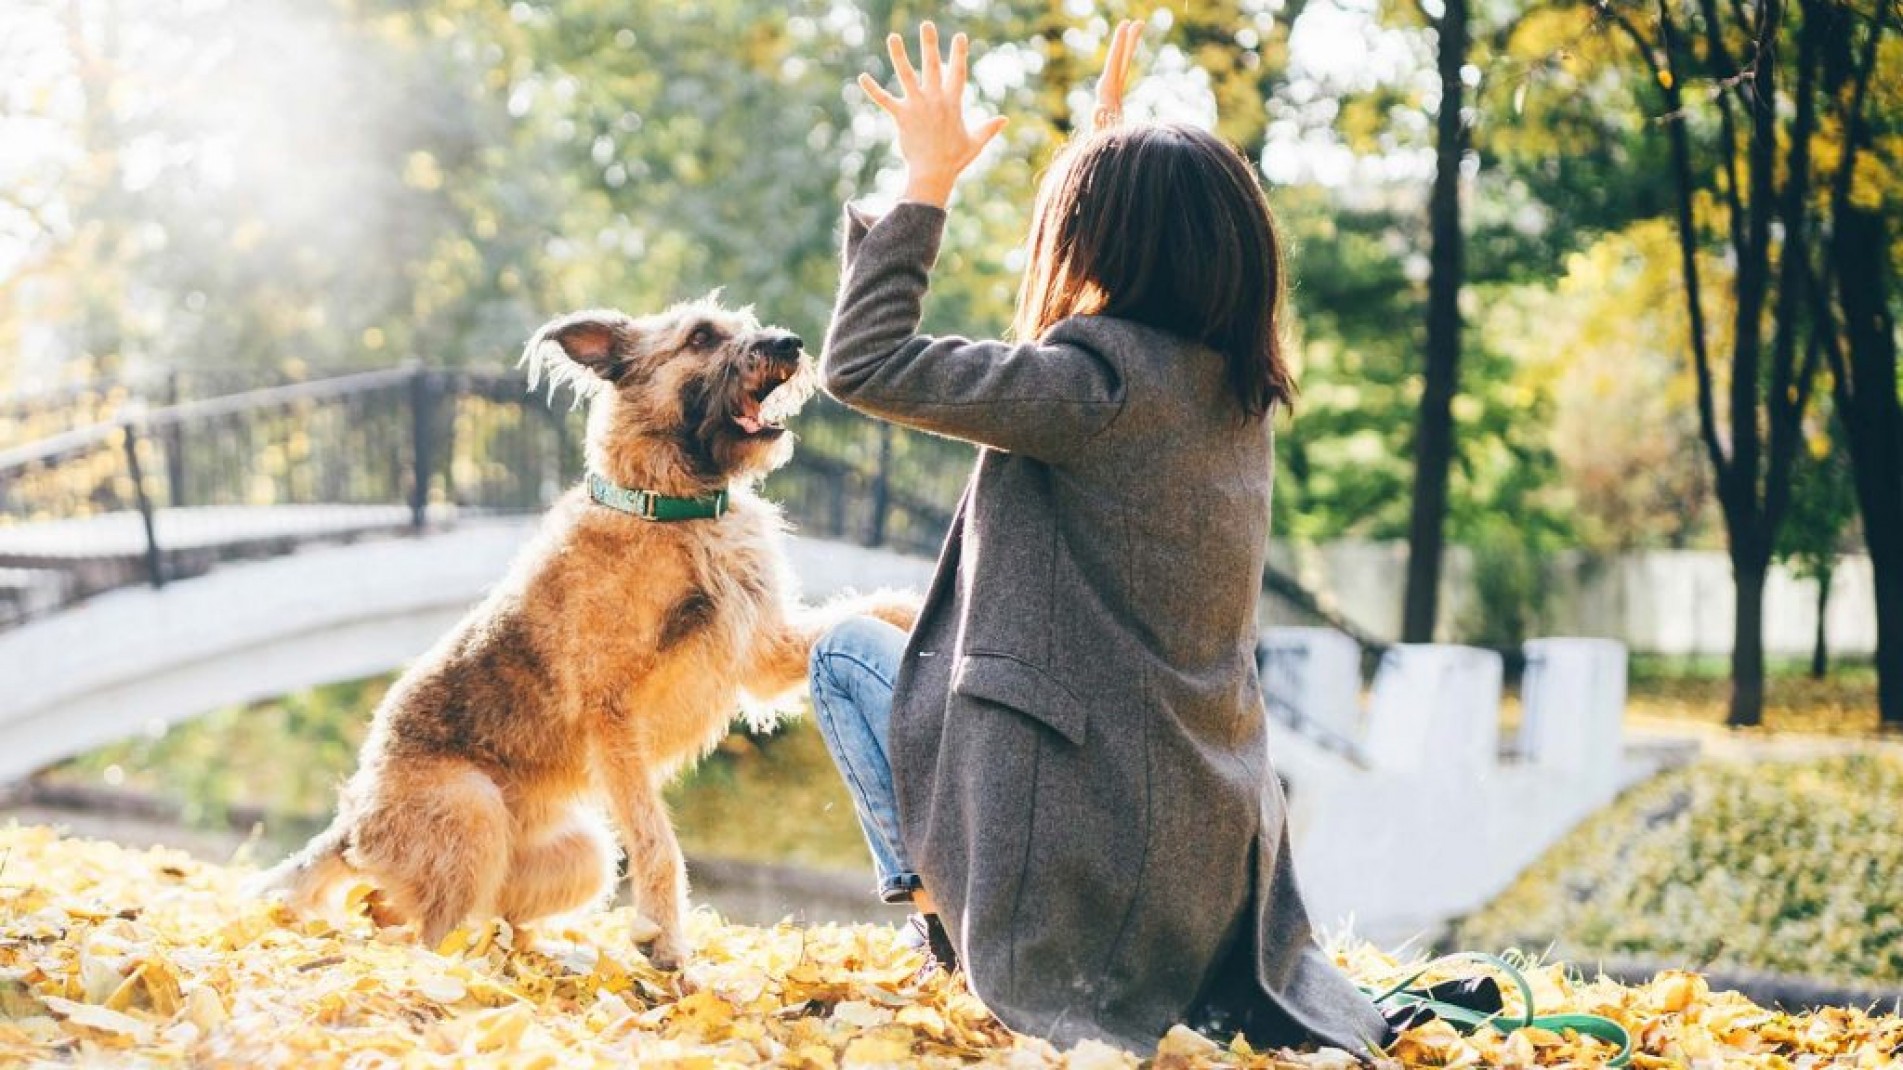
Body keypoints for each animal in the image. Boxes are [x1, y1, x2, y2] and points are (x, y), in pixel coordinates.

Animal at [258, 295, 921, 963]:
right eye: (701, 337)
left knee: (419, 912)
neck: (670, 507)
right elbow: (657, 838)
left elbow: (871, 605)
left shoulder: (762, 652)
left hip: (584, 854)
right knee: (423, 932)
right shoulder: (613, 713)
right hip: (473, 812)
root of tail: (350, 822)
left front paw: (922, 610)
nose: (789, 343)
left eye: (747, 326)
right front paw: (663, 942)